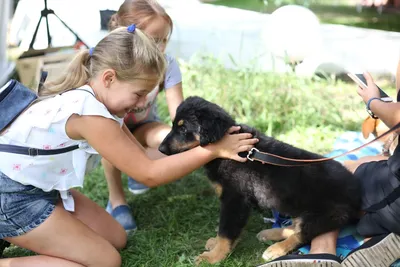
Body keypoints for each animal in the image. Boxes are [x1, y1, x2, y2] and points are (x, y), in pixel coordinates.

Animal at [158, 97, 360, 266]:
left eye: (183, 128)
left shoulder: (235, 200)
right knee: (296, 226)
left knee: (303, 233)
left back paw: (276, 249)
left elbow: (226, 231)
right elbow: (225, 230)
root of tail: (358, 191)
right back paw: (270, 233)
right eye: (174, 125)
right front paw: (215, 245)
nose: (160, 149)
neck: (228, 150)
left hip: (326, 214)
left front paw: (213, 257)